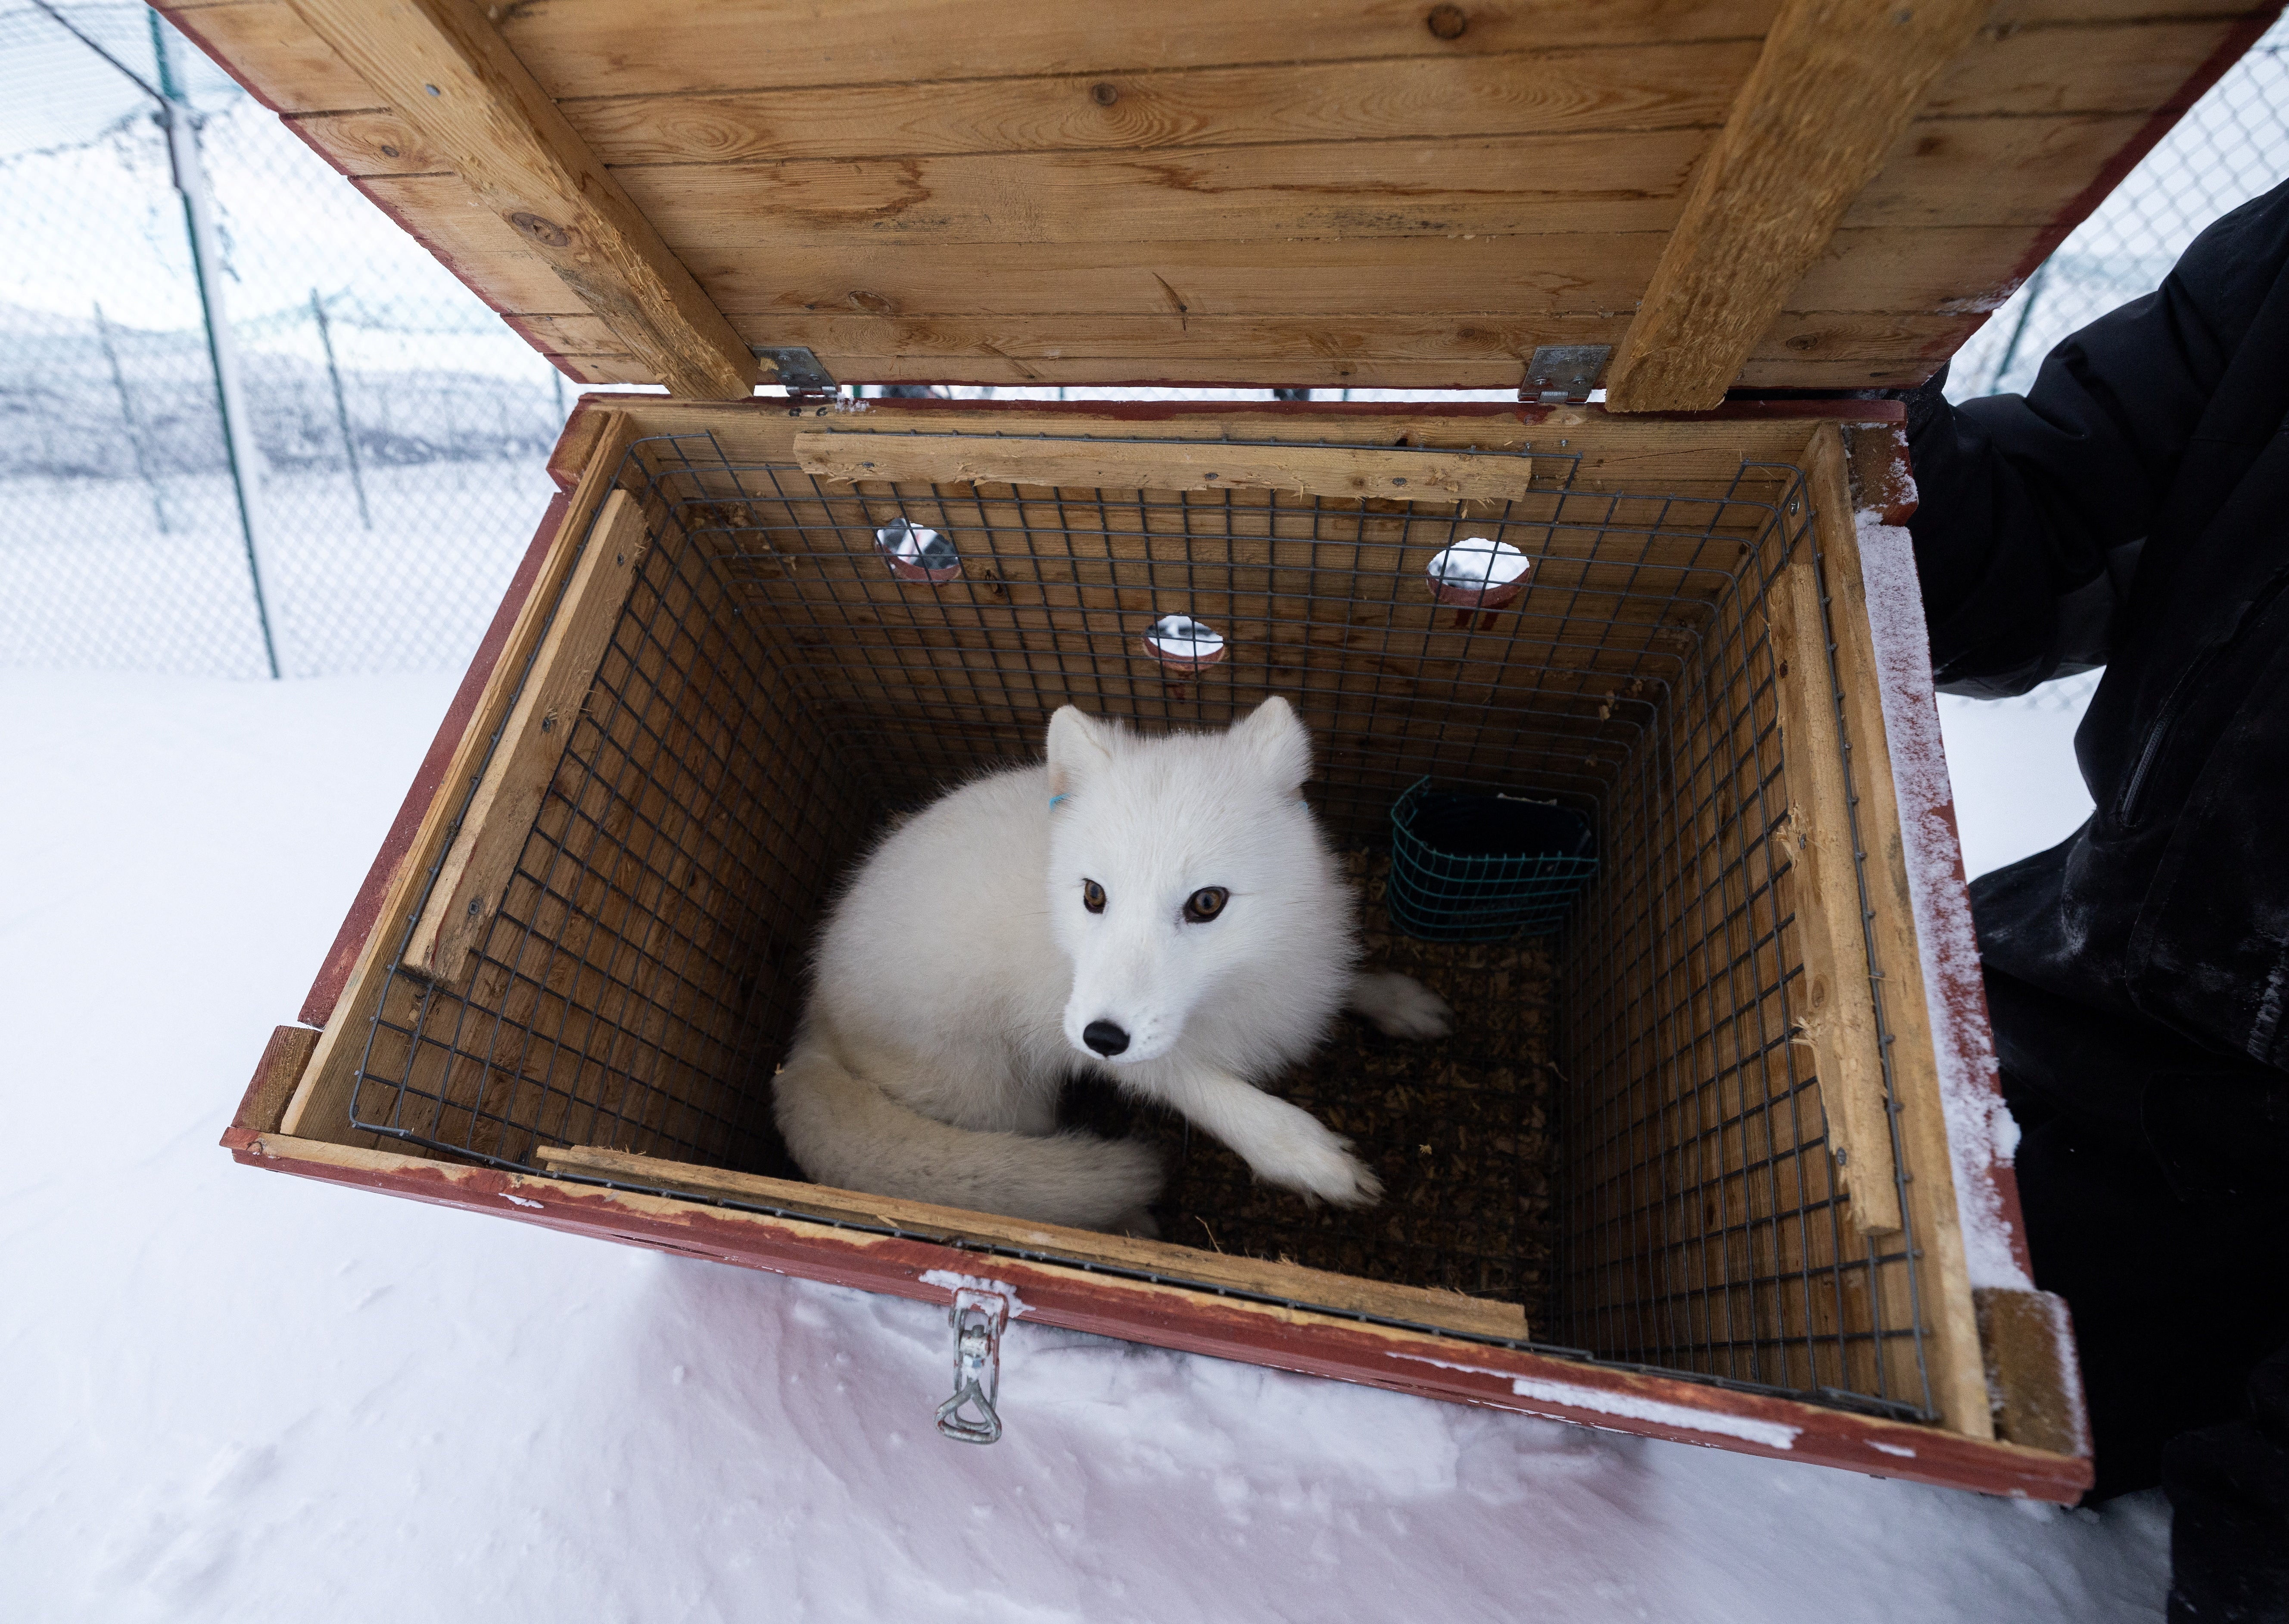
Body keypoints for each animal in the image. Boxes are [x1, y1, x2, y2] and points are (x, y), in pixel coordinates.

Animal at [769, 696, 1446, 1228]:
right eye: (1094, 895)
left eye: (1207, 903)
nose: (1103, 1036)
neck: (1236, 986)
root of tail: (809, 1019)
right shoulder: (1086, 1031)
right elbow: (1210, 1094)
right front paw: (1309, 1160)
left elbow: (1342, 980)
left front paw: (1396, 1000)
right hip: (1002, 1098)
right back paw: (1126, 1219)